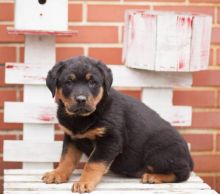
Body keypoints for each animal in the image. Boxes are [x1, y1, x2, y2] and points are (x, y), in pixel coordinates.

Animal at [41, 56, 192, 192]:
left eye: (92, 82)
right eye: (68, 82)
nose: (81, 99)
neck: (81, 118)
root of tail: (189, 158)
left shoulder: (109, 140)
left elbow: (92, 164)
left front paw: (84, 183)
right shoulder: (72, 138)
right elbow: (66, 159)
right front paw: (57, 174)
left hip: (157, 152)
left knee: (183, 173)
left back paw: (154, 177)